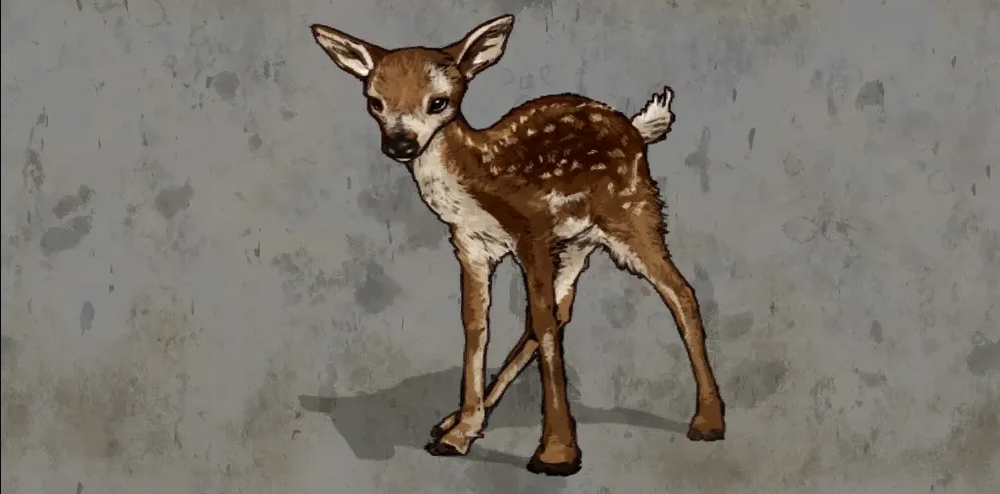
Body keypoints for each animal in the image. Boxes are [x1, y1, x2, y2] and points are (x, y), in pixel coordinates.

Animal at [310, 14, 726, 476]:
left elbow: (541, 323)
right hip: (578, 243)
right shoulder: (471, 245)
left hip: (633, 214)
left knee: (680, 292)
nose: (400, 144)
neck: (481, 182)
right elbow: (477, 325)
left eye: (439, 102)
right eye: (375, 102)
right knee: (565, 309)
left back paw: (708, 421)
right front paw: (461, 432)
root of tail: (636, 129)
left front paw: (556, 453)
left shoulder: (532, 234)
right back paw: (450, 423)